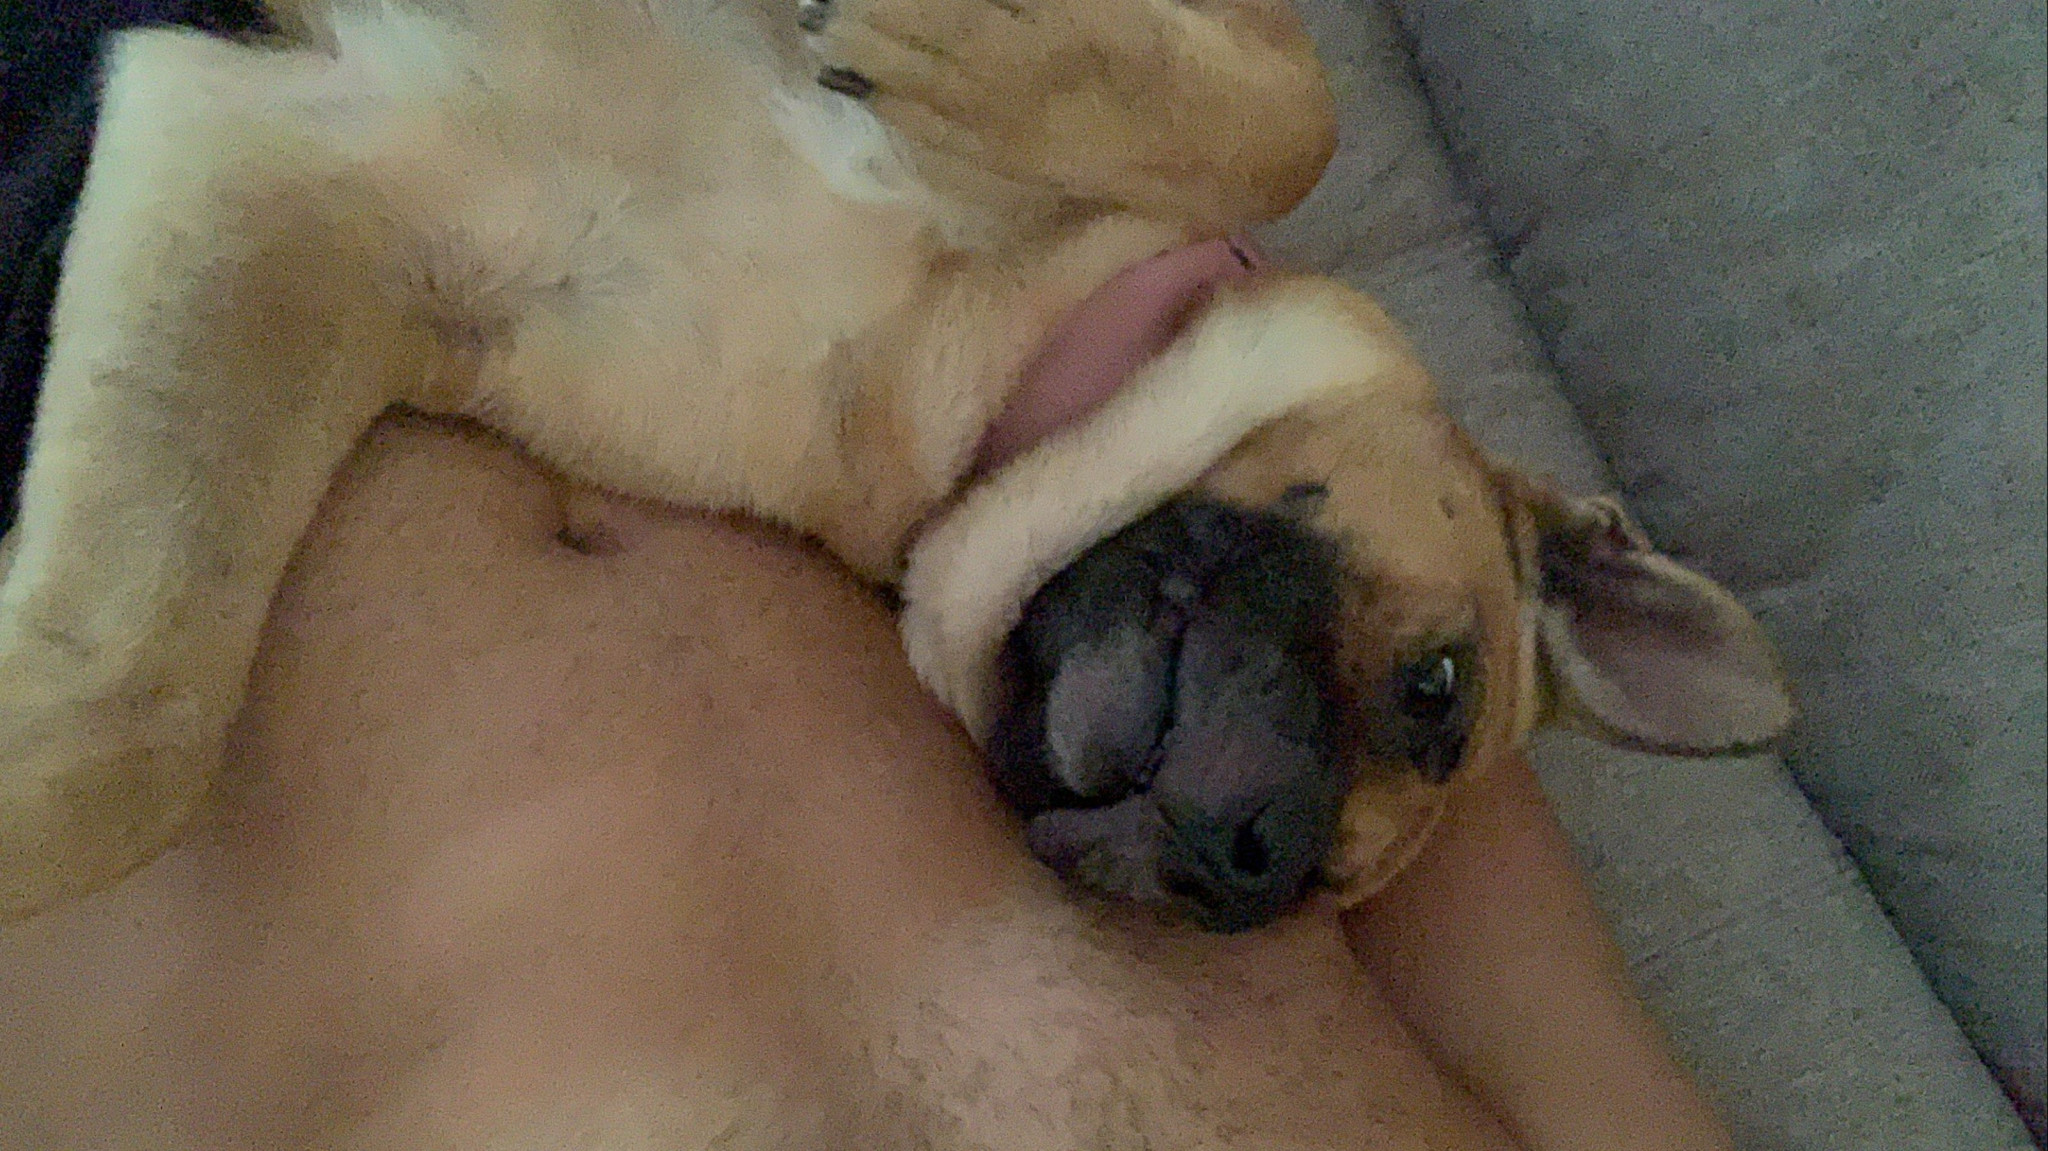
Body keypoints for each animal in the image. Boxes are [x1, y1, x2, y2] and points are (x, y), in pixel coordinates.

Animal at [0, 0, 1790, 945]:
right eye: (1440, 688)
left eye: (1289, 906)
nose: (1245, 862)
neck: (969, 349)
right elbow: (1293, 111)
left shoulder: (291, 196)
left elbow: (113, 734)